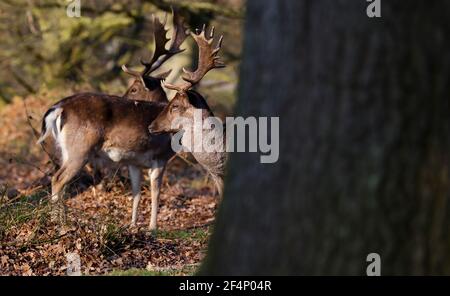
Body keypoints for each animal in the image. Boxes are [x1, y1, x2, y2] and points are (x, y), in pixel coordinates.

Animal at [36, 10, 188, 230]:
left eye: (133, 88)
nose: (124, 96)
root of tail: (58, 108)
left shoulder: (135, 161)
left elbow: (137, 192)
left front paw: (134, 226)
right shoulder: (160, 156)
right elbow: (155, 192)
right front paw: (153, 228)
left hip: (63, 150)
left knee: (59, 179)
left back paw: (61, 220)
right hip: (79, 148)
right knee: (58, 179)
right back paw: (60, 223)